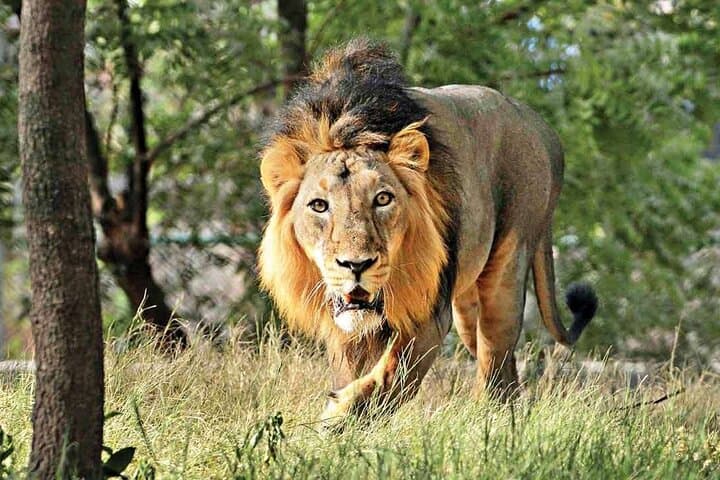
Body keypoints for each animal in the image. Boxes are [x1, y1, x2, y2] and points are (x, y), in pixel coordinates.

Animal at [258, 39, 598, 424]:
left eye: (383, 199)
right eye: (319, 205)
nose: (356, 265)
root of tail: (542, 127)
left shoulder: (429, 313)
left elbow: (392, 375)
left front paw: (340, 415)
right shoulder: (344, 326)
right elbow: (354, 371)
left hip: (508, 265)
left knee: (494, 356)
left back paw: (487, 420)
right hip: (467, 304)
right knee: (503, 365)